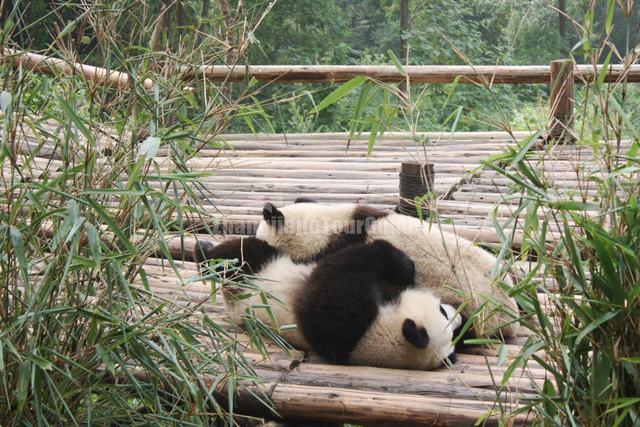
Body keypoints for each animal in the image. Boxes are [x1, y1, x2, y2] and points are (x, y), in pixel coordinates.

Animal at [194, 237, 460, 372]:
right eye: (441, 311)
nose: (458, 316)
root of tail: (232, 301)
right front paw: (405, 268)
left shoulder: (347, 326)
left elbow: (332, 275)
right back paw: (202, 249)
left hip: (255, 276)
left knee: (241, 254)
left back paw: (203, 253)